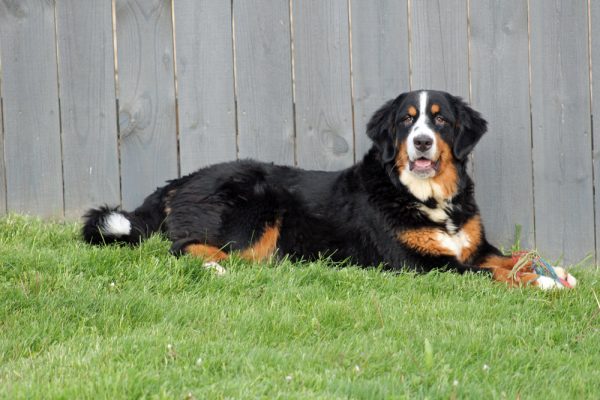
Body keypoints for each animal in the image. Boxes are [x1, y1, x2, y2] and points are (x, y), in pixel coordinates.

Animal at [83, 90, 576, 289]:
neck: (427, 197)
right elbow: (493, 273)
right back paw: (216, 267)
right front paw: (541, 283)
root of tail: (182, 179)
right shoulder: (422, 266)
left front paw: (556, 271)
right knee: (183, 247)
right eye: (406, 121)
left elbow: (510, 257)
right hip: (252, 207)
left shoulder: (470, 248)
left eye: (440, 120)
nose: (420, 142)